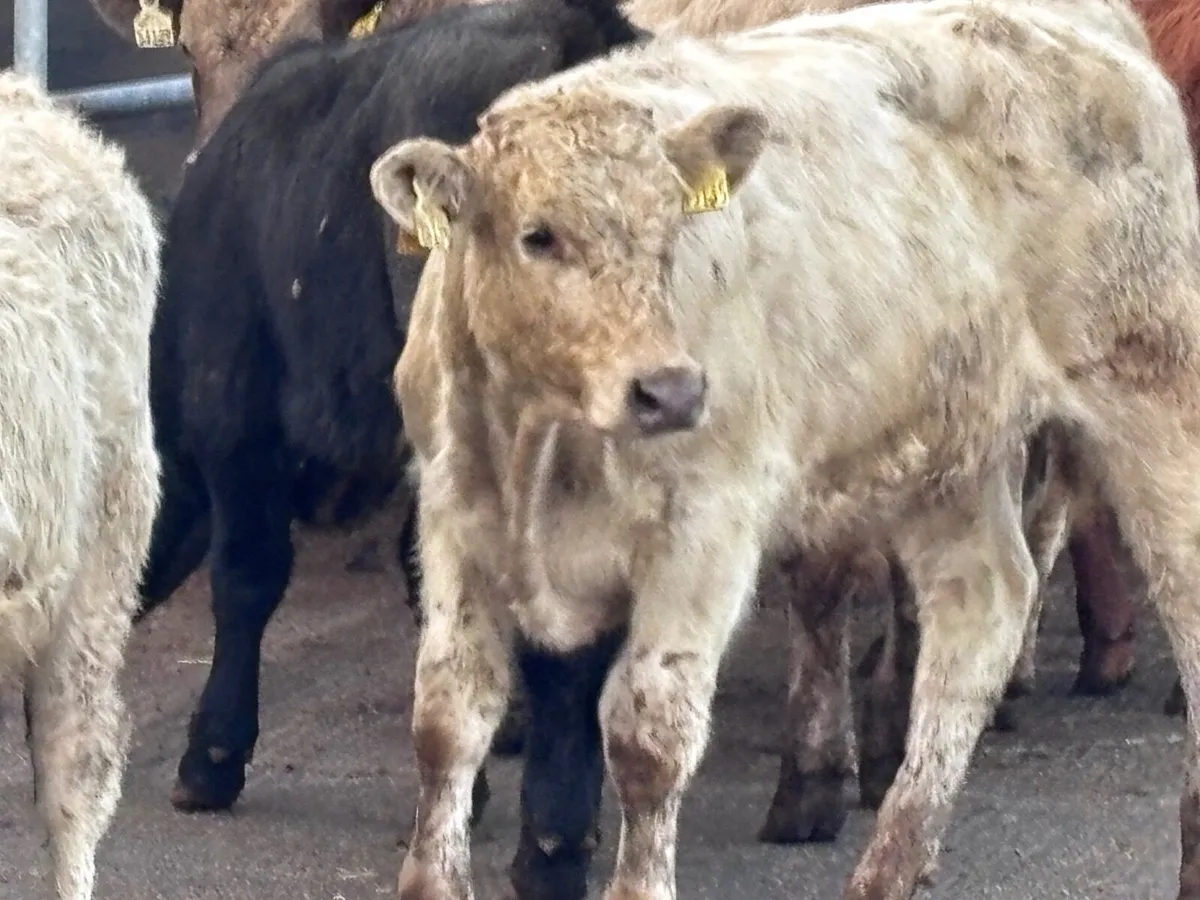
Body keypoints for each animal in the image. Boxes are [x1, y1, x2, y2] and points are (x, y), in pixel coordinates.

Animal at [370, 0, 1200, 897]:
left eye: (672, 235)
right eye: (538, 236)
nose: (669, 390)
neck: (542, 439)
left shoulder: (707, 529)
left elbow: (647, 736)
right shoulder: (453, 515)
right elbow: (447, 718)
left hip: (1153, 398)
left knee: (1182, 596)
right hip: (951, 448)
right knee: (983, 608)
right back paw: (891, 864)